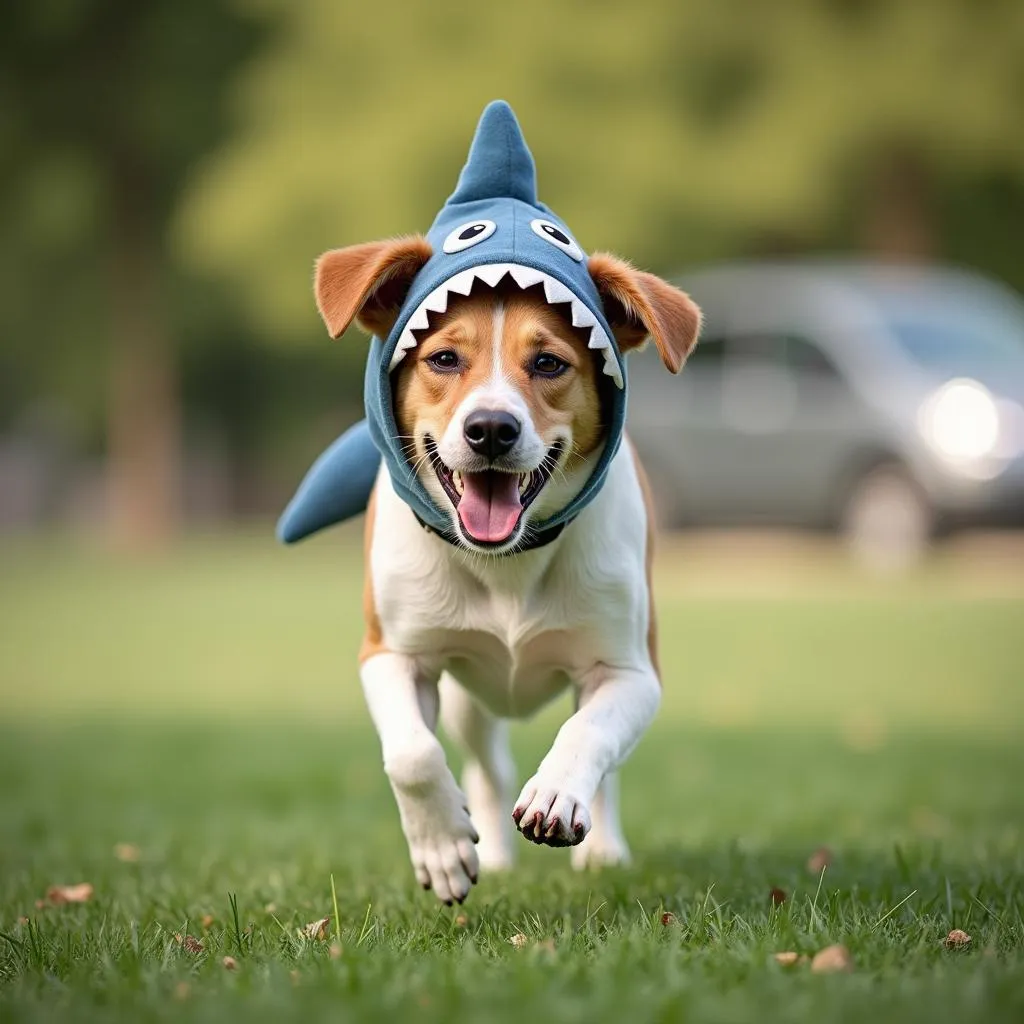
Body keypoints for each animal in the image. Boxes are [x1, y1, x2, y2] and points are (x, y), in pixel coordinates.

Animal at [284, 103, 700, 905]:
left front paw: (559, 795)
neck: (507, 562)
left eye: (549, 363)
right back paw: (494, 852)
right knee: (485, 761)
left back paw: (601, 847)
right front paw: (444, 848)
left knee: (598, 761)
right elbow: (412, 754)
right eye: (444, 357)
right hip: (470, 699)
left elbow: (590, 736)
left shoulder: (632, 671)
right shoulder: (391, 653)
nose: (490, 429)